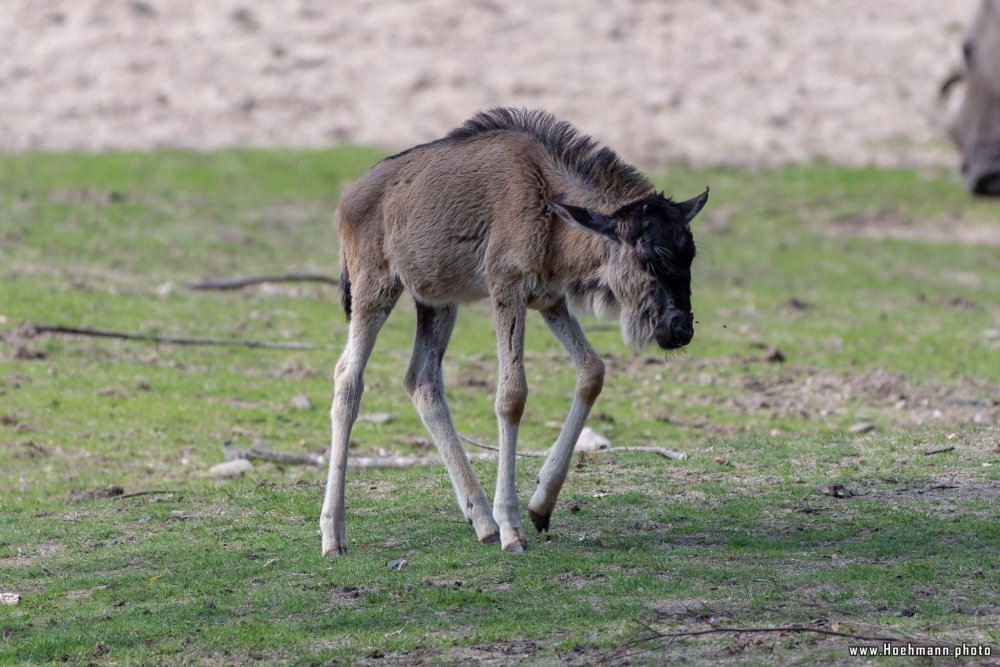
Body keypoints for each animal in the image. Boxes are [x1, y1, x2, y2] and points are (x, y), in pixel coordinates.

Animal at [316, 109, 708, 556]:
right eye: (648, 255)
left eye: (689, 254)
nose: (680, 328)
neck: (549, 203)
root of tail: (348, 199)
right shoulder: (506, 287)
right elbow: (512, 394)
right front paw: (513, 527)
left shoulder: (549, 299)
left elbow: (593, 370)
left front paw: (540, 505)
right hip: (374, 289)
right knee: (348, 379)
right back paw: (333, 535)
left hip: (437, 301)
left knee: (422, 381)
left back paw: (480, 519)